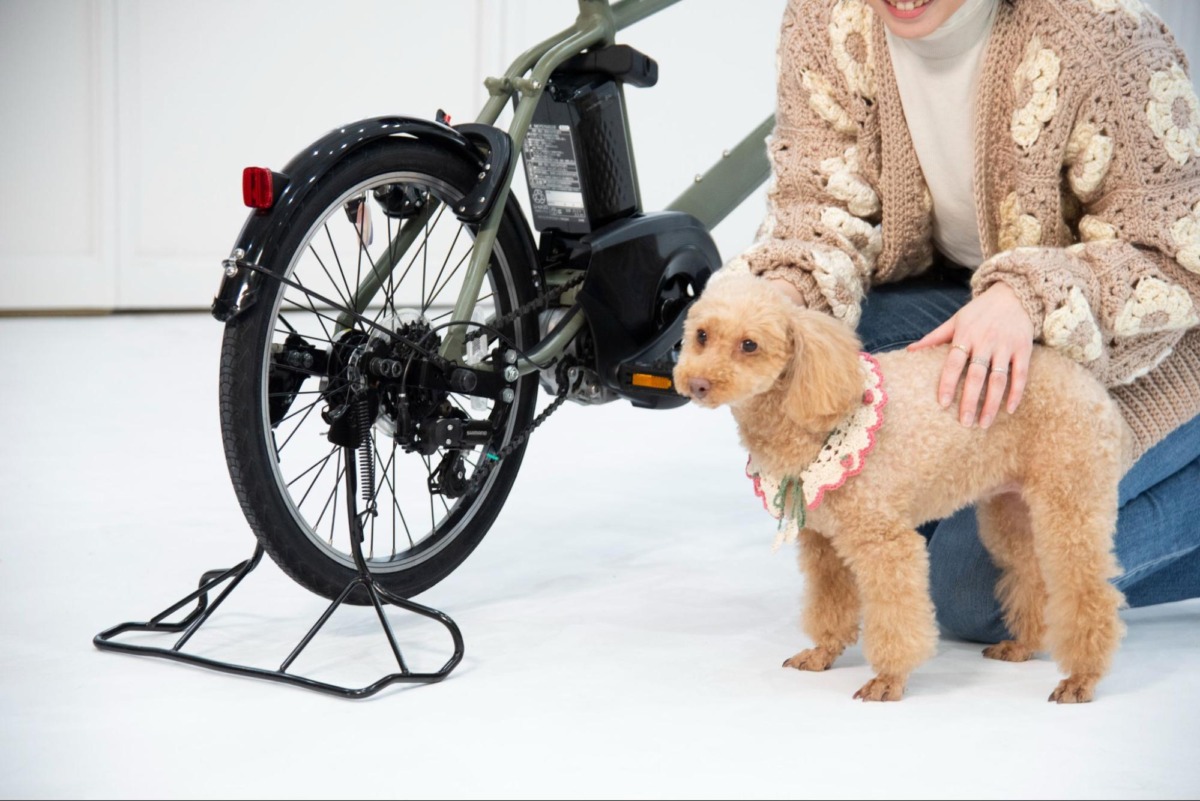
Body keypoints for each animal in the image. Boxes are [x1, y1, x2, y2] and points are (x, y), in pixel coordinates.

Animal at [673, 274, 1129, 702]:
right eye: (701, 336)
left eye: (749, 345)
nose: (696, 383)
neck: (808, 417)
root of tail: (1088, 385)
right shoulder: (824, 544)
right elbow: (829, 603)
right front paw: (821, 654)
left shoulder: (885, 541)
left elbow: (895, 617)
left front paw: (888, 681)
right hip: (1010, 507)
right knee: (1031, 571)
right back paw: (1022, 646)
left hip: (1070, 497)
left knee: (1087, 588)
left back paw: (1081, 678)